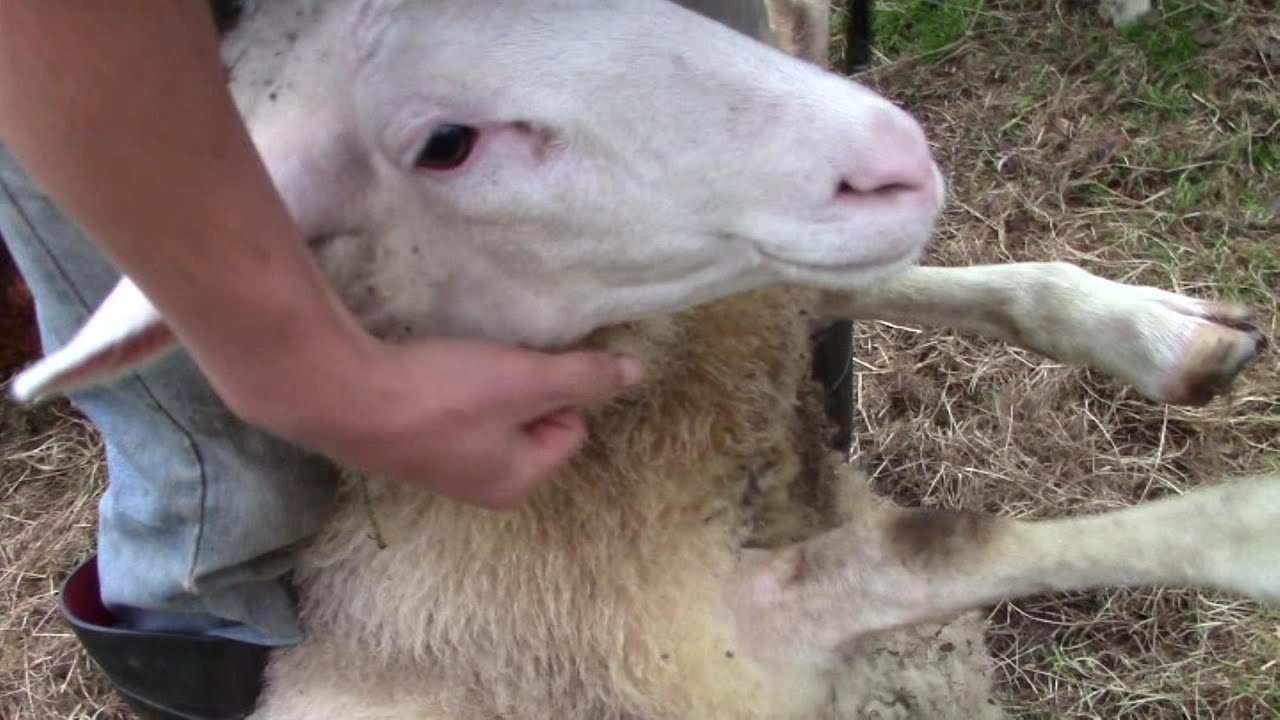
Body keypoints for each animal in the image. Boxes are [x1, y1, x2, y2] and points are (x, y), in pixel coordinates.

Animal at [10, 1, 1273, 718]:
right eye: (447, 145)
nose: (890, 154)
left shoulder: (739, 291)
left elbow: (984, 285)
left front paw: (1157, 333)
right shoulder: (718, 643)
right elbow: (950, 545)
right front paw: (1248, 530)